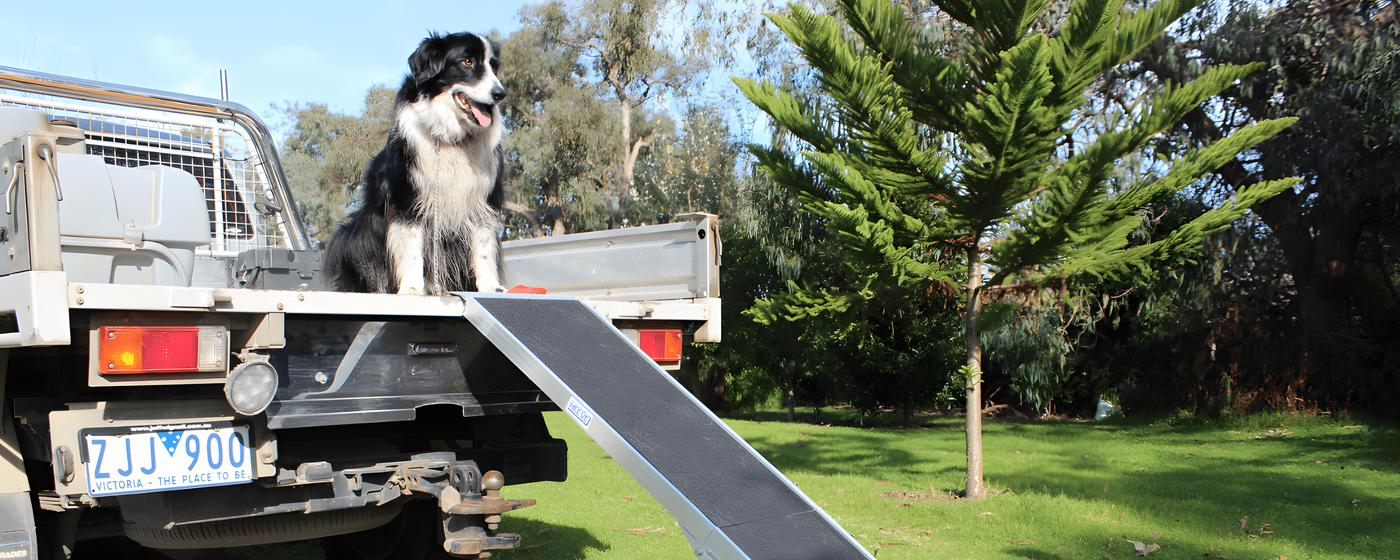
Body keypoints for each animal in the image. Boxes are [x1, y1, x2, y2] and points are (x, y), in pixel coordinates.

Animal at [324, 31, 506, 292]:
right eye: (467, 61)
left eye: (494, 66)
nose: (500, 94)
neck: (451, 137)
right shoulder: (407, 197)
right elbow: (410, 246)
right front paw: (411, 288)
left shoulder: (483, 198)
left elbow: (483, 245)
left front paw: (491, 287)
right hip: (356, 237)